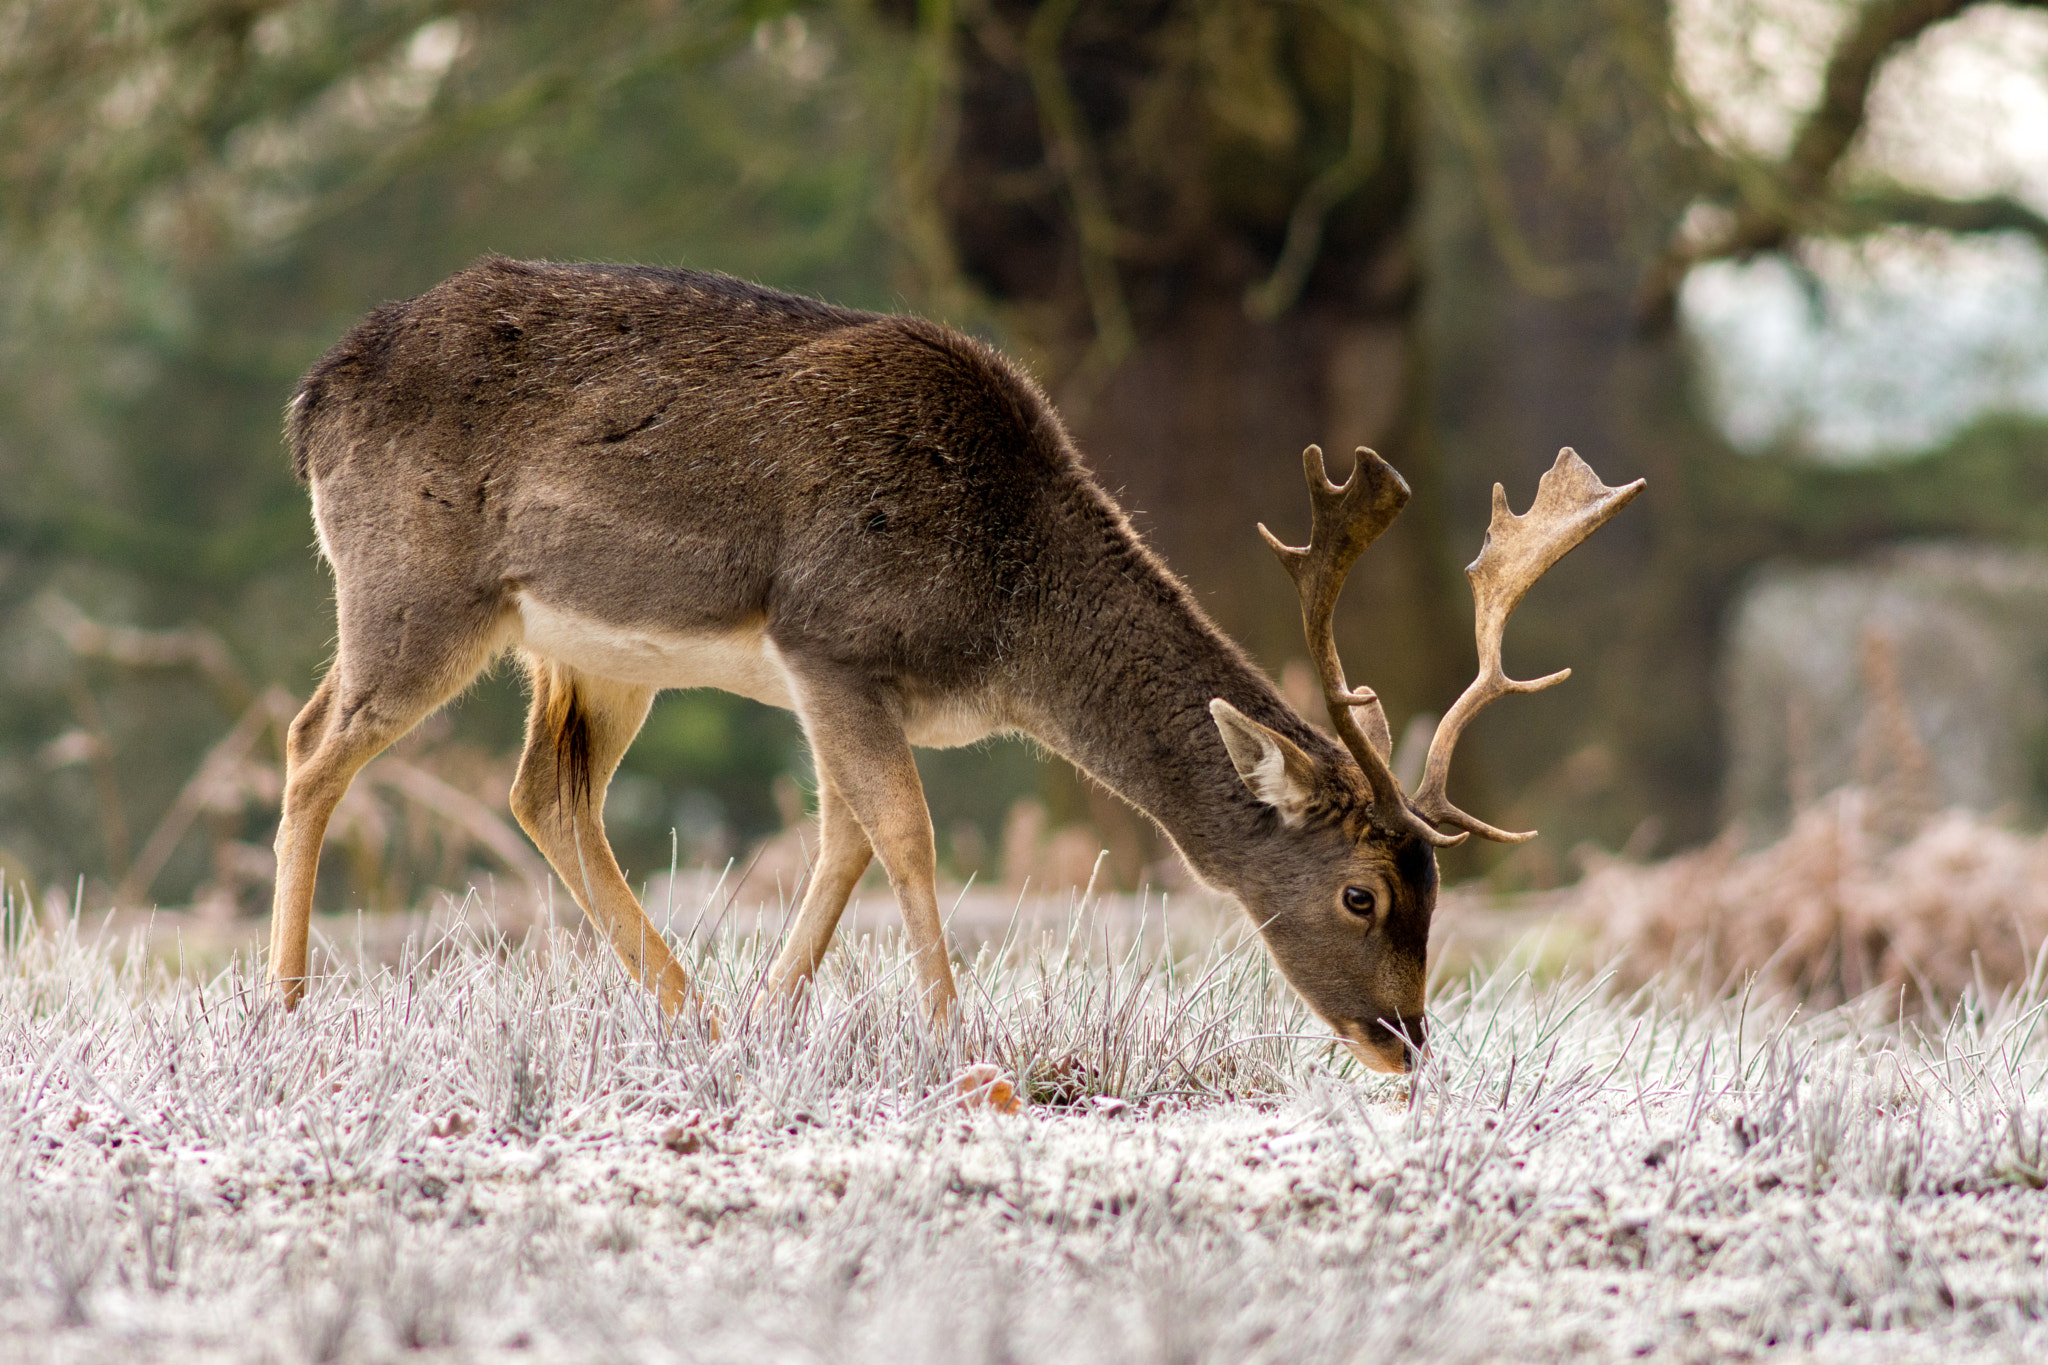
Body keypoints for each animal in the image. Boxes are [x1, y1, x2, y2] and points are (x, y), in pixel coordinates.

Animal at [276, 253, 1646, 1064]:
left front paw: (770, 1018)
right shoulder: (831, 637)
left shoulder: (835, 684)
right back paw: (285, 1004)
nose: (1403, 1040)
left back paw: (691, 1010)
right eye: (1362, 893)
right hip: (413, 586)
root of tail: (310, 397)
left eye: (1436, 888)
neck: (1004, 628)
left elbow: (839, 840)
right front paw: (949, 1034)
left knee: (543, 791)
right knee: (311, 745)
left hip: (591, 650)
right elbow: (903, 832)